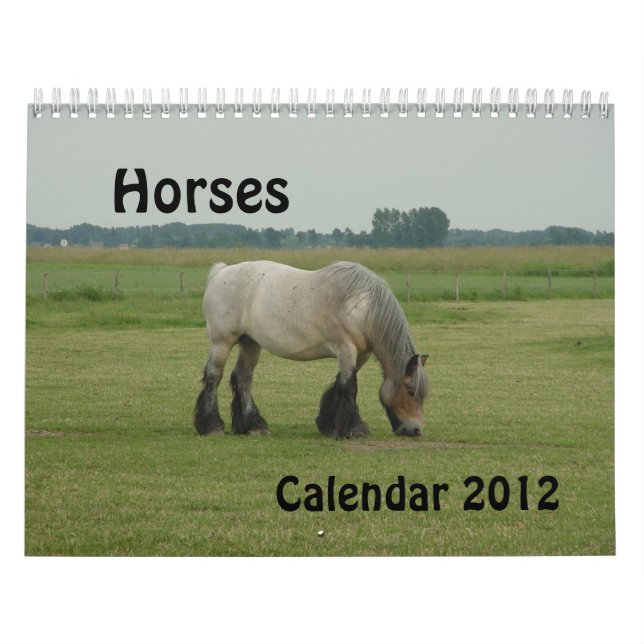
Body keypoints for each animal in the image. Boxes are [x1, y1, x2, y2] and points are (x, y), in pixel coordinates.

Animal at [193, 261, 429, 439]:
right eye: (410, 390)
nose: (415, 430)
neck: (361, 306)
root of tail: (221, 272)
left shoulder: (360, 354)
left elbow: (339, 384)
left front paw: (329, 426)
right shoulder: (346, 349)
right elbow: (349, 386)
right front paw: (355, 429)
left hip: (251, 343)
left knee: (243, 378)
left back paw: (254, 425)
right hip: (222, 342)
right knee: (214, 377)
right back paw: (213, 426)